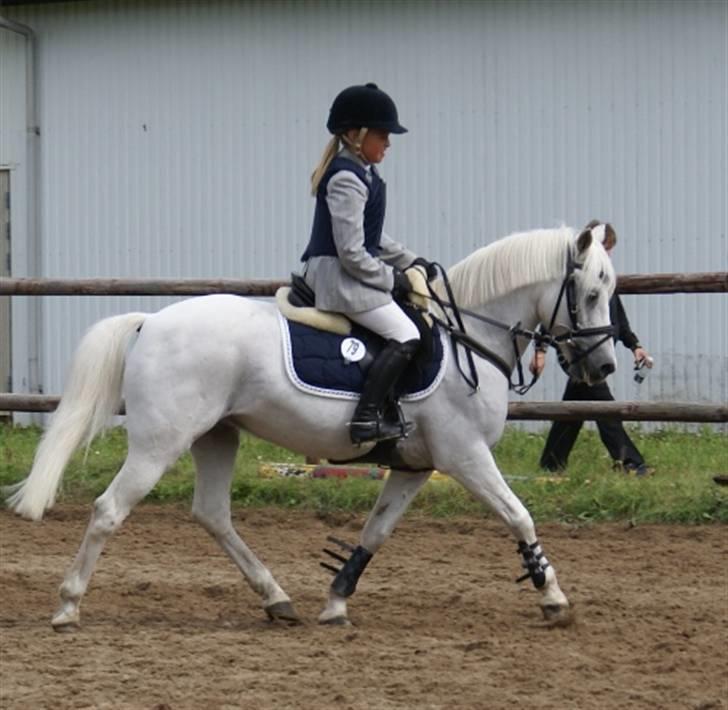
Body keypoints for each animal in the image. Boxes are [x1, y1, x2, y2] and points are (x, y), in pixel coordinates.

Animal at [7, 225, 620, 632]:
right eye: (591, 294)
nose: (605, 369)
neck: (468, 336)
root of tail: (151, 321)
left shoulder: (417, 466)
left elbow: (375, 532)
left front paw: (336, 599)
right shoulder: (464, 455)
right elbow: (519, 515)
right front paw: (553, 598)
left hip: (216, 436)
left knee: (212, 514)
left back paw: (277, 599)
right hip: (161, 443)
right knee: (110, 510)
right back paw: (68, 606)